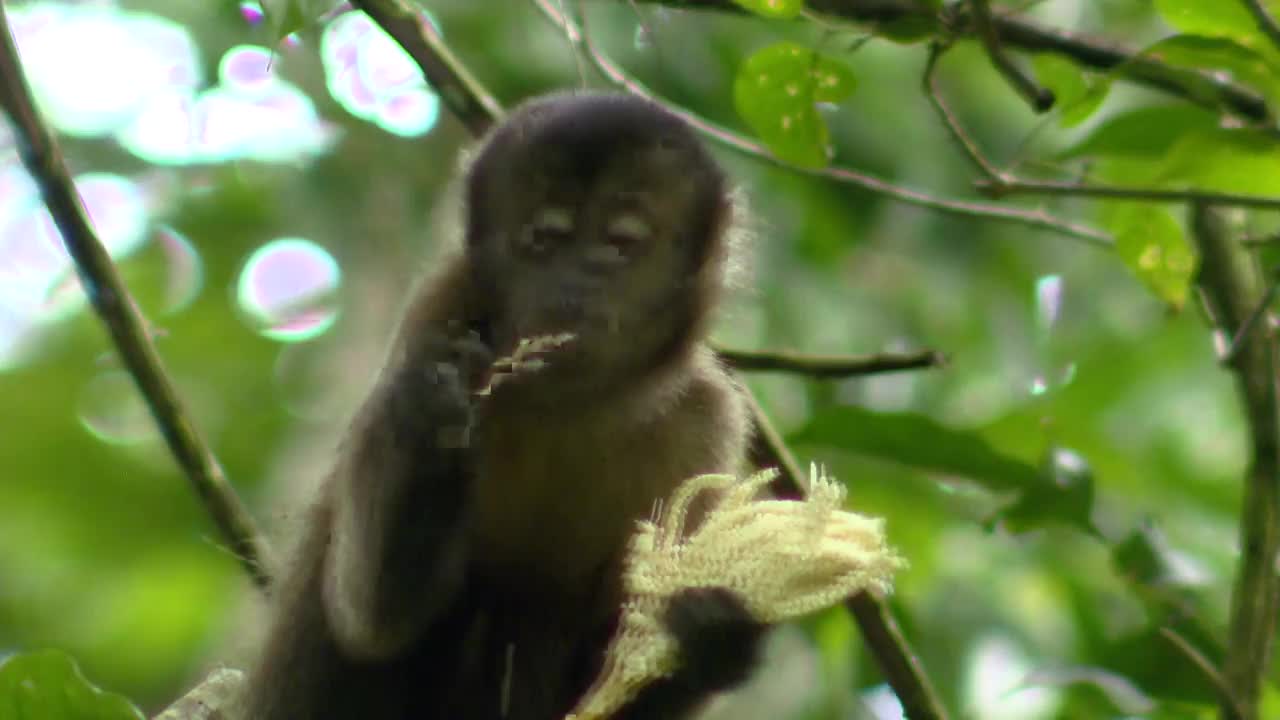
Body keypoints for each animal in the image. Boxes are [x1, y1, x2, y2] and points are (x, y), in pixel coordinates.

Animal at [239, 92, 757, 717]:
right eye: (545, 239)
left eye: (620, 244)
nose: (575, 284)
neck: (569, 404)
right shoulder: (436, 310)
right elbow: (368, 620)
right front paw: (431, 413)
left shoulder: (707, 421)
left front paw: (715, 637)